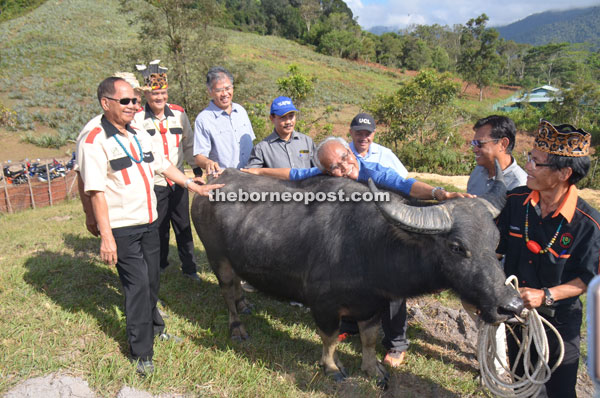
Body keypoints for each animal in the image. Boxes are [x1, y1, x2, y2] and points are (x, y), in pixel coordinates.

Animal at [190, 167, 524, 382]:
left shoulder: (373, 305)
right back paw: (237, 327)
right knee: (227, 292)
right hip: (218, 259)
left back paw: (246, 304)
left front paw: (372, 368)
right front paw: (332, 367)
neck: (371, 244)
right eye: (457, 247)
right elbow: (329, 339)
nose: (512, 306)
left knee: (237, 288)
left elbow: (370, 338)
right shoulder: (323, 305)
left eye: (495, 242)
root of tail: (210, 184)